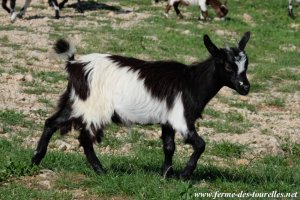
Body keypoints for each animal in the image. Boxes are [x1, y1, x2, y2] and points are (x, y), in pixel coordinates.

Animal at [31, 32, 251, 179]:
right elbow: (200, 144)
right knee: (85, 138)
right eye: (228, 65)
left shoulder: (168, 120)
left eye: (246, 65)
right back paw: (101, 171)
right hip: (93, 107)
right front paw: (184, 174)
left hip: (77, 102)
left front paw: (166, 175)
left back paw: (35, 161)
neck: (191, 81)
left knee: (51, 122)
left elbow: (169, 147)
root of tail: (74, 64)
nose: (245, 87)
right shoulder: (181, 118)